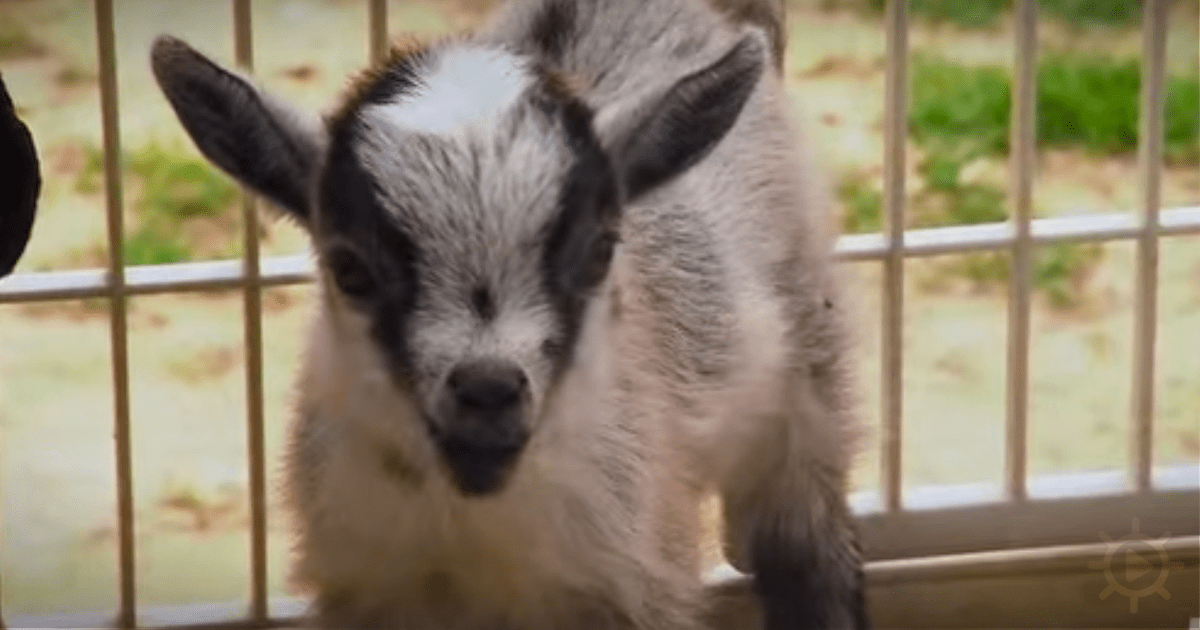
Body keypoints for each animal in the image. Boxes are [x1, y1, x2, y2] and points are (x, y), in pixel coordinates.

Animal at [151, 0, 868, 627]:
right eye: (349, 267)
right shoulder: (366, 582)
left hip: (807, 383)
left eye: (599, 250)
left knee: (807, 544)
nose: (488, 390)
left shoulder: (636, 576)